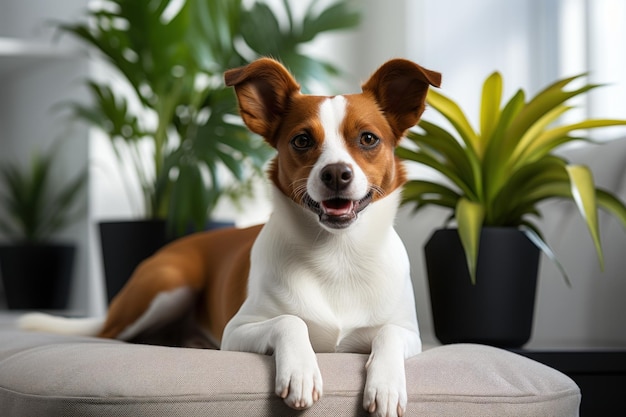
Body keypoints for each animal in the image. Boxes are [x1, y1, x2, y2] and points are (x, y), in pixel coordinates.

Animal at [20, 57, 438, 416]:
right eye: (302, 140)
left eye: (368, 139)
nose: (336, 173)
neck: (338, 253)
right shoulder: (237, 331)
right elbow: (290, 321)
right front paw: (301, 371)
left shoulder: (410, 334)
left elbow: (387, 334)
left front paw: (386, 387)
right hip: (169, 283)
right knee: (111, 335)